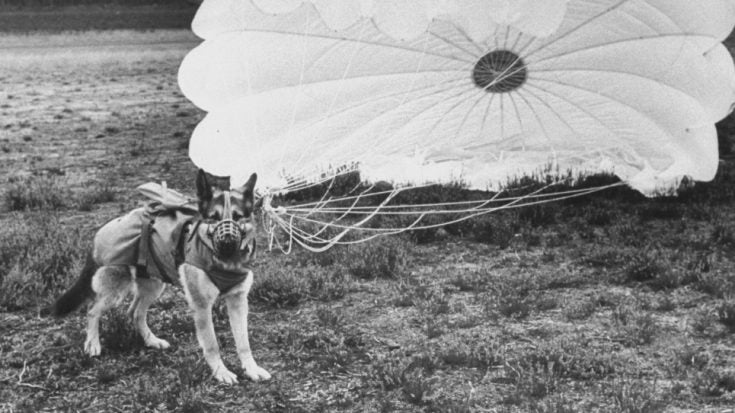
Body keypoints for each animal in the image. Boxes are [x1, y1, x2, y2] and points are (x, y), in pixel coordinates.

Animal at [49, 170, 274, 384]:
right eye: (214, 217)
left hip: (153, 287)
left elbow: (244, 343)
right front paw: (221, 372)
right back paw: (93, 344)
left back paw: (151, 341)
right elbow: (212, 344)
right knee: (92, 310)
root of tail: (101, 232)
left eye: (237, 216)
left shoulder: (238, 302)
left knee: (134, 312)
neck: (224, 262)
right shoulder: (202, 306)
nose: (227, 240)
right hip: (116, 292)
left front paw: (251, 369)